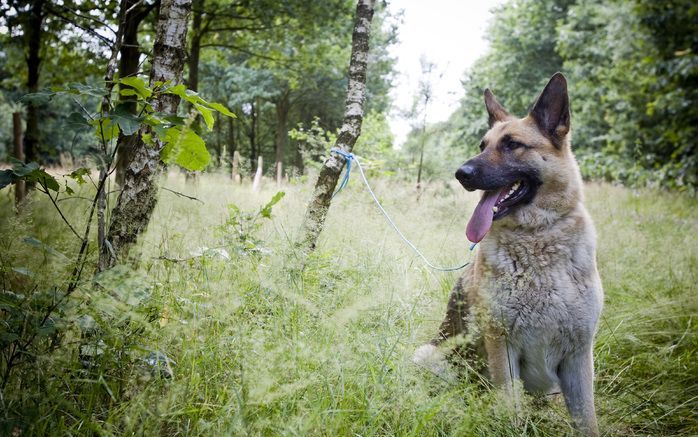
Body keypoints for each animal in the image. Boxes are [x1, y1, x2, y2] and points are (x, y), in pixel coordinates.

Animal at [414, 73, 604, 434]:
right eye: (482, 146)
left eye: (512, 144)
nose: (461, 174)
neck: (537, 239)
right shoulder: (502, 347)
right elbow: (510, 412)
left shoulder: (578, 357)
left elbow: (587, 420)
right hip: (429, 355)